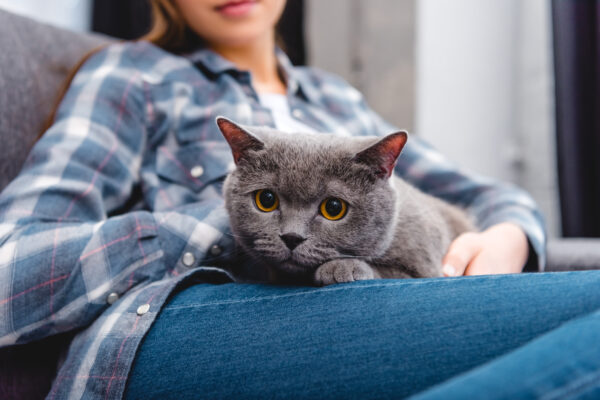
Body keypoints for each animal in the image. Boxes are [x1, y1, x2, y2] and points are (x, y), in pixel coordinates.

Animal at [216, 117, 474, 286]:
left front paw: (341, 268)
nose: (291, 237)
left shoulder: (426, 266)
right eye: (266, 200)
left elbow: (387, 272)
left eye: (334, 208)